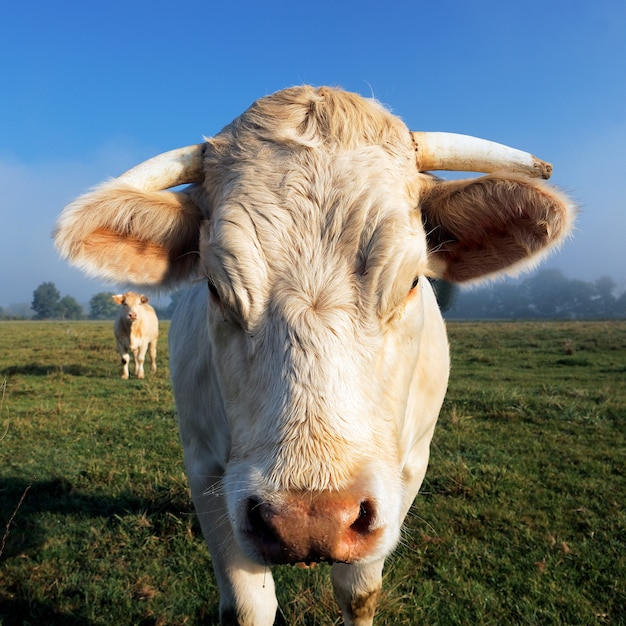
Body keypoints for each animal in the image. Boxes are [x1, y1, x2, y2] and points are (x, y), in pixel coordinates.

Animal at [56, 86, 572, 624]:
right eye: (215, 288)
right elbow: (248, 606)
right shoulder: (204, 467)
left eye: (412, 280)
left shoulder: (406, 468)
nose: (310, 522)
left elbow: (359, 591)